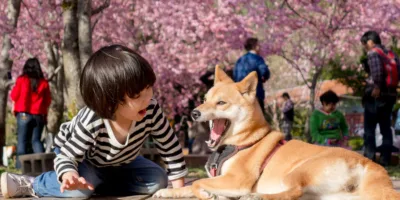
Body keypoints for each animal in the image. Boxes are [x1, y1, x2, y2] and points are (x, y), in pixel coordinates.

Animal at [153, 66, 400, 200]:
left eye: (221, 102)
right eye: (205, 99)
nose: (194, 113)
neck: (244, 141)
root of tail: (371, 164)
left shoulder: (237, 179)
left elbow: (197, 183)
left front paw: (207, 194)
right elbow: (188, 185)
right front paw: (168, 191)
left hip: (296, 172)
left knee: (291, 192)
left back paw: (254, 196)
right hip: (330, 195)